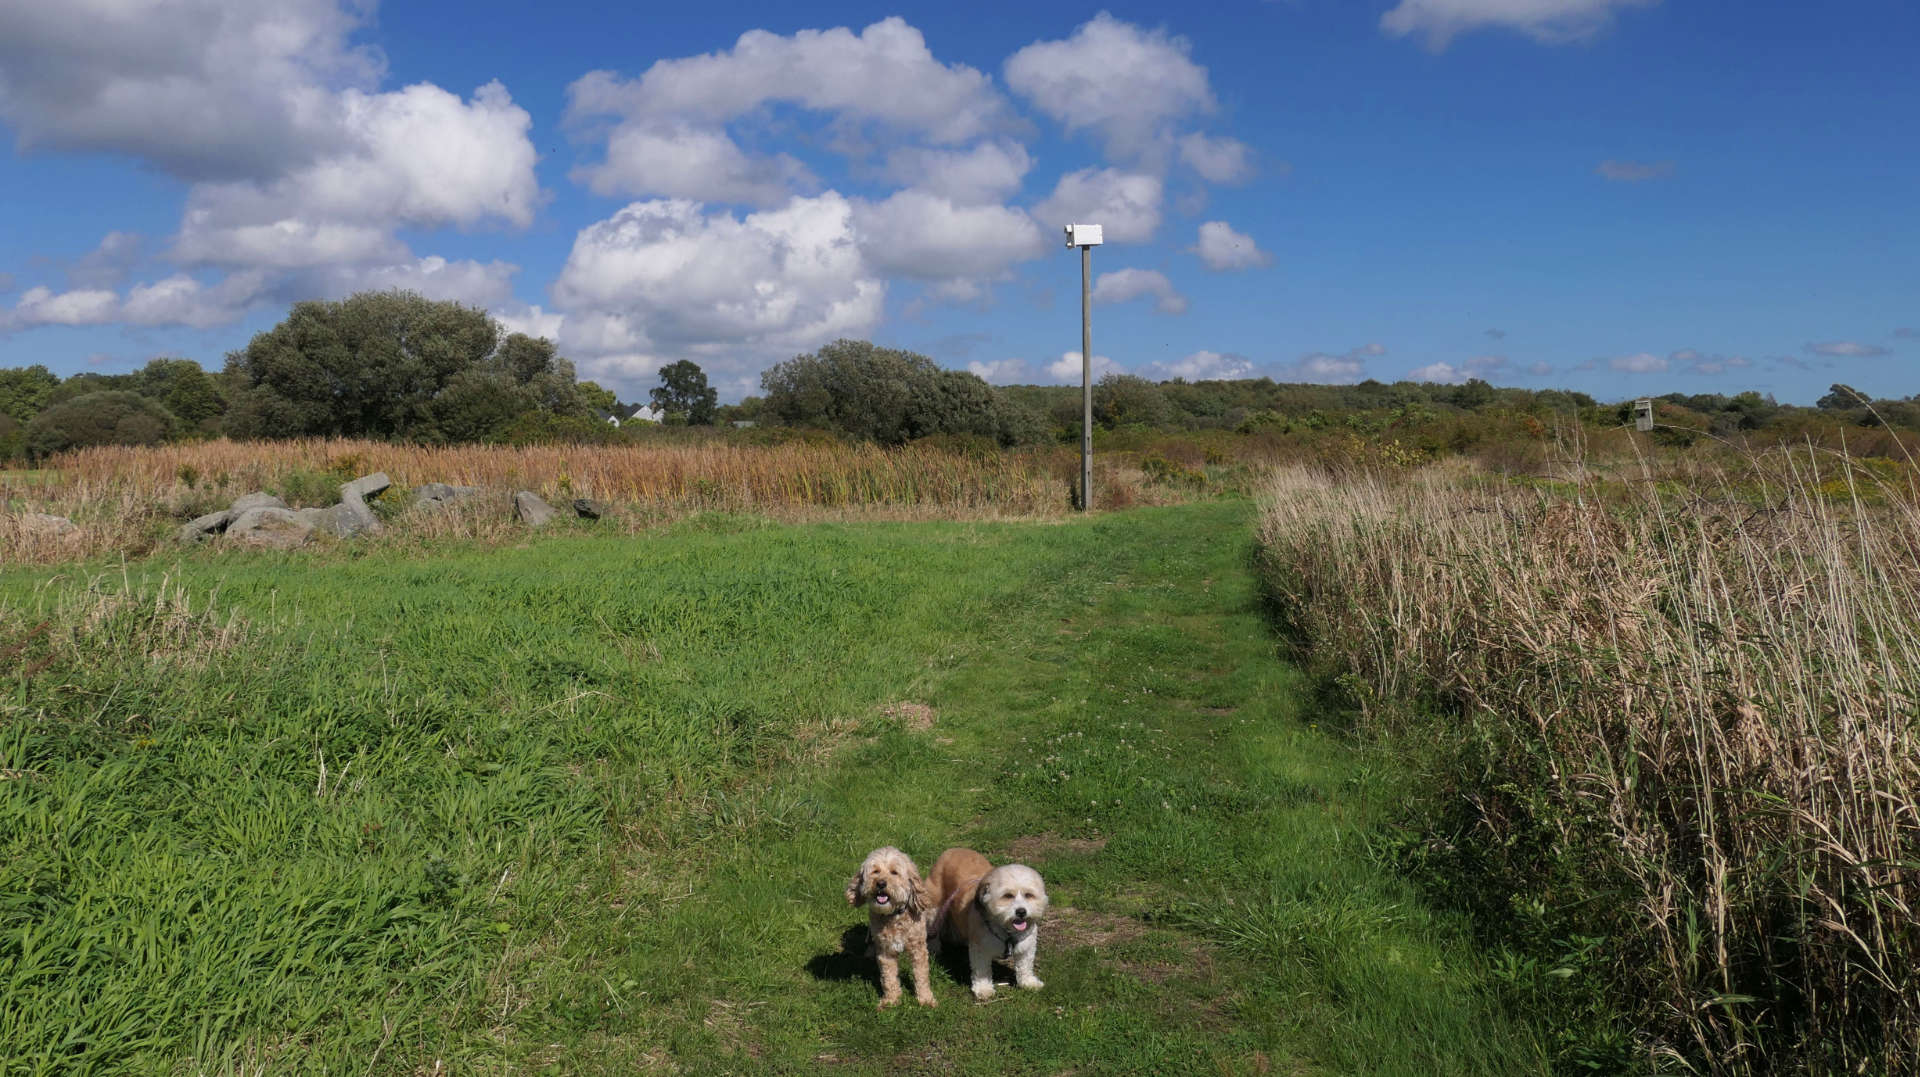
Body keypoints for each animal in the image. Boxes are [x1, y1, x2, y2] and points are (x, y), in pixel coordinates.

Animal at [840, 848, 936, 1005]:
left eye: (894, 872)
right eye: (875, 871)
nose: (881, 883)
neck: (894, 916)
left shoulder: (918, 948)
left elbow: (921, 975)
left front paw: (926, 999)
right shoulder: (885, 950)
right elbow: (888, 977)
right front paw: (891, 1000)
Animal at [925, 848, 1052, 998]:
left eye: (1029, 895)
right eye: (1008, 896)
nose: (1021, 911)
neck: (1006, 931)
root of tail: (952, 850)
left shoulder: (1027, 946)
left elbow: (1025, 966)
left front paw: (1028, 982)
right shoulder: (981, 948)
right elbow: (982, 972)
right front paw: (983, 989)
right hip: (934, 907)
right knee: (933, 929)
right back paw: (934, 947)